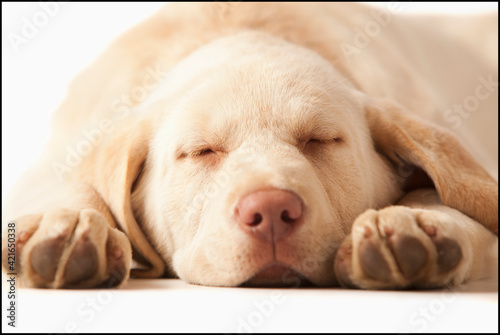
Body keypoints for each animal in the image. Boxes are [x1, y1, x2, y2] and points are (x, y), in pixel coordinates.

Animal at [2, 2, 496, 290]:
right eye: (201, 151)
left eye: (320, 140)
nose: (272, 212)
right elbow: (74, 182)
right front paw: (69, 222)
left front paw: (419, 219)